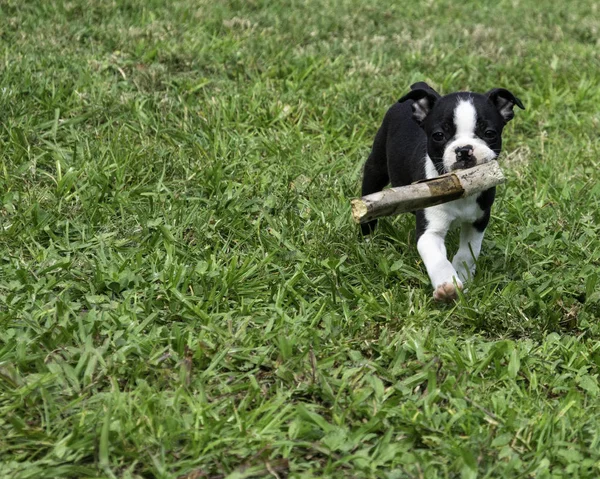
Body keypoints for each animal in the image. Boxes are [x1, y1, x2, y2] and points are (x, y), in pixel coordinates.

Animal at [360, 81, 524, 302]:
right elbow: (438, 259)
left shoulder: (479, 221)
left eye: (489, 133)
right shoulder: (430, 231)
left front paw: (463, 275)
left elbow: (468, 252)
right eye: (439, 135)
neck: (461, 188)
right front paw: (447, 285)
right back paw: (367, 240)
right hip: (376, 166)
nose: (464, 150)